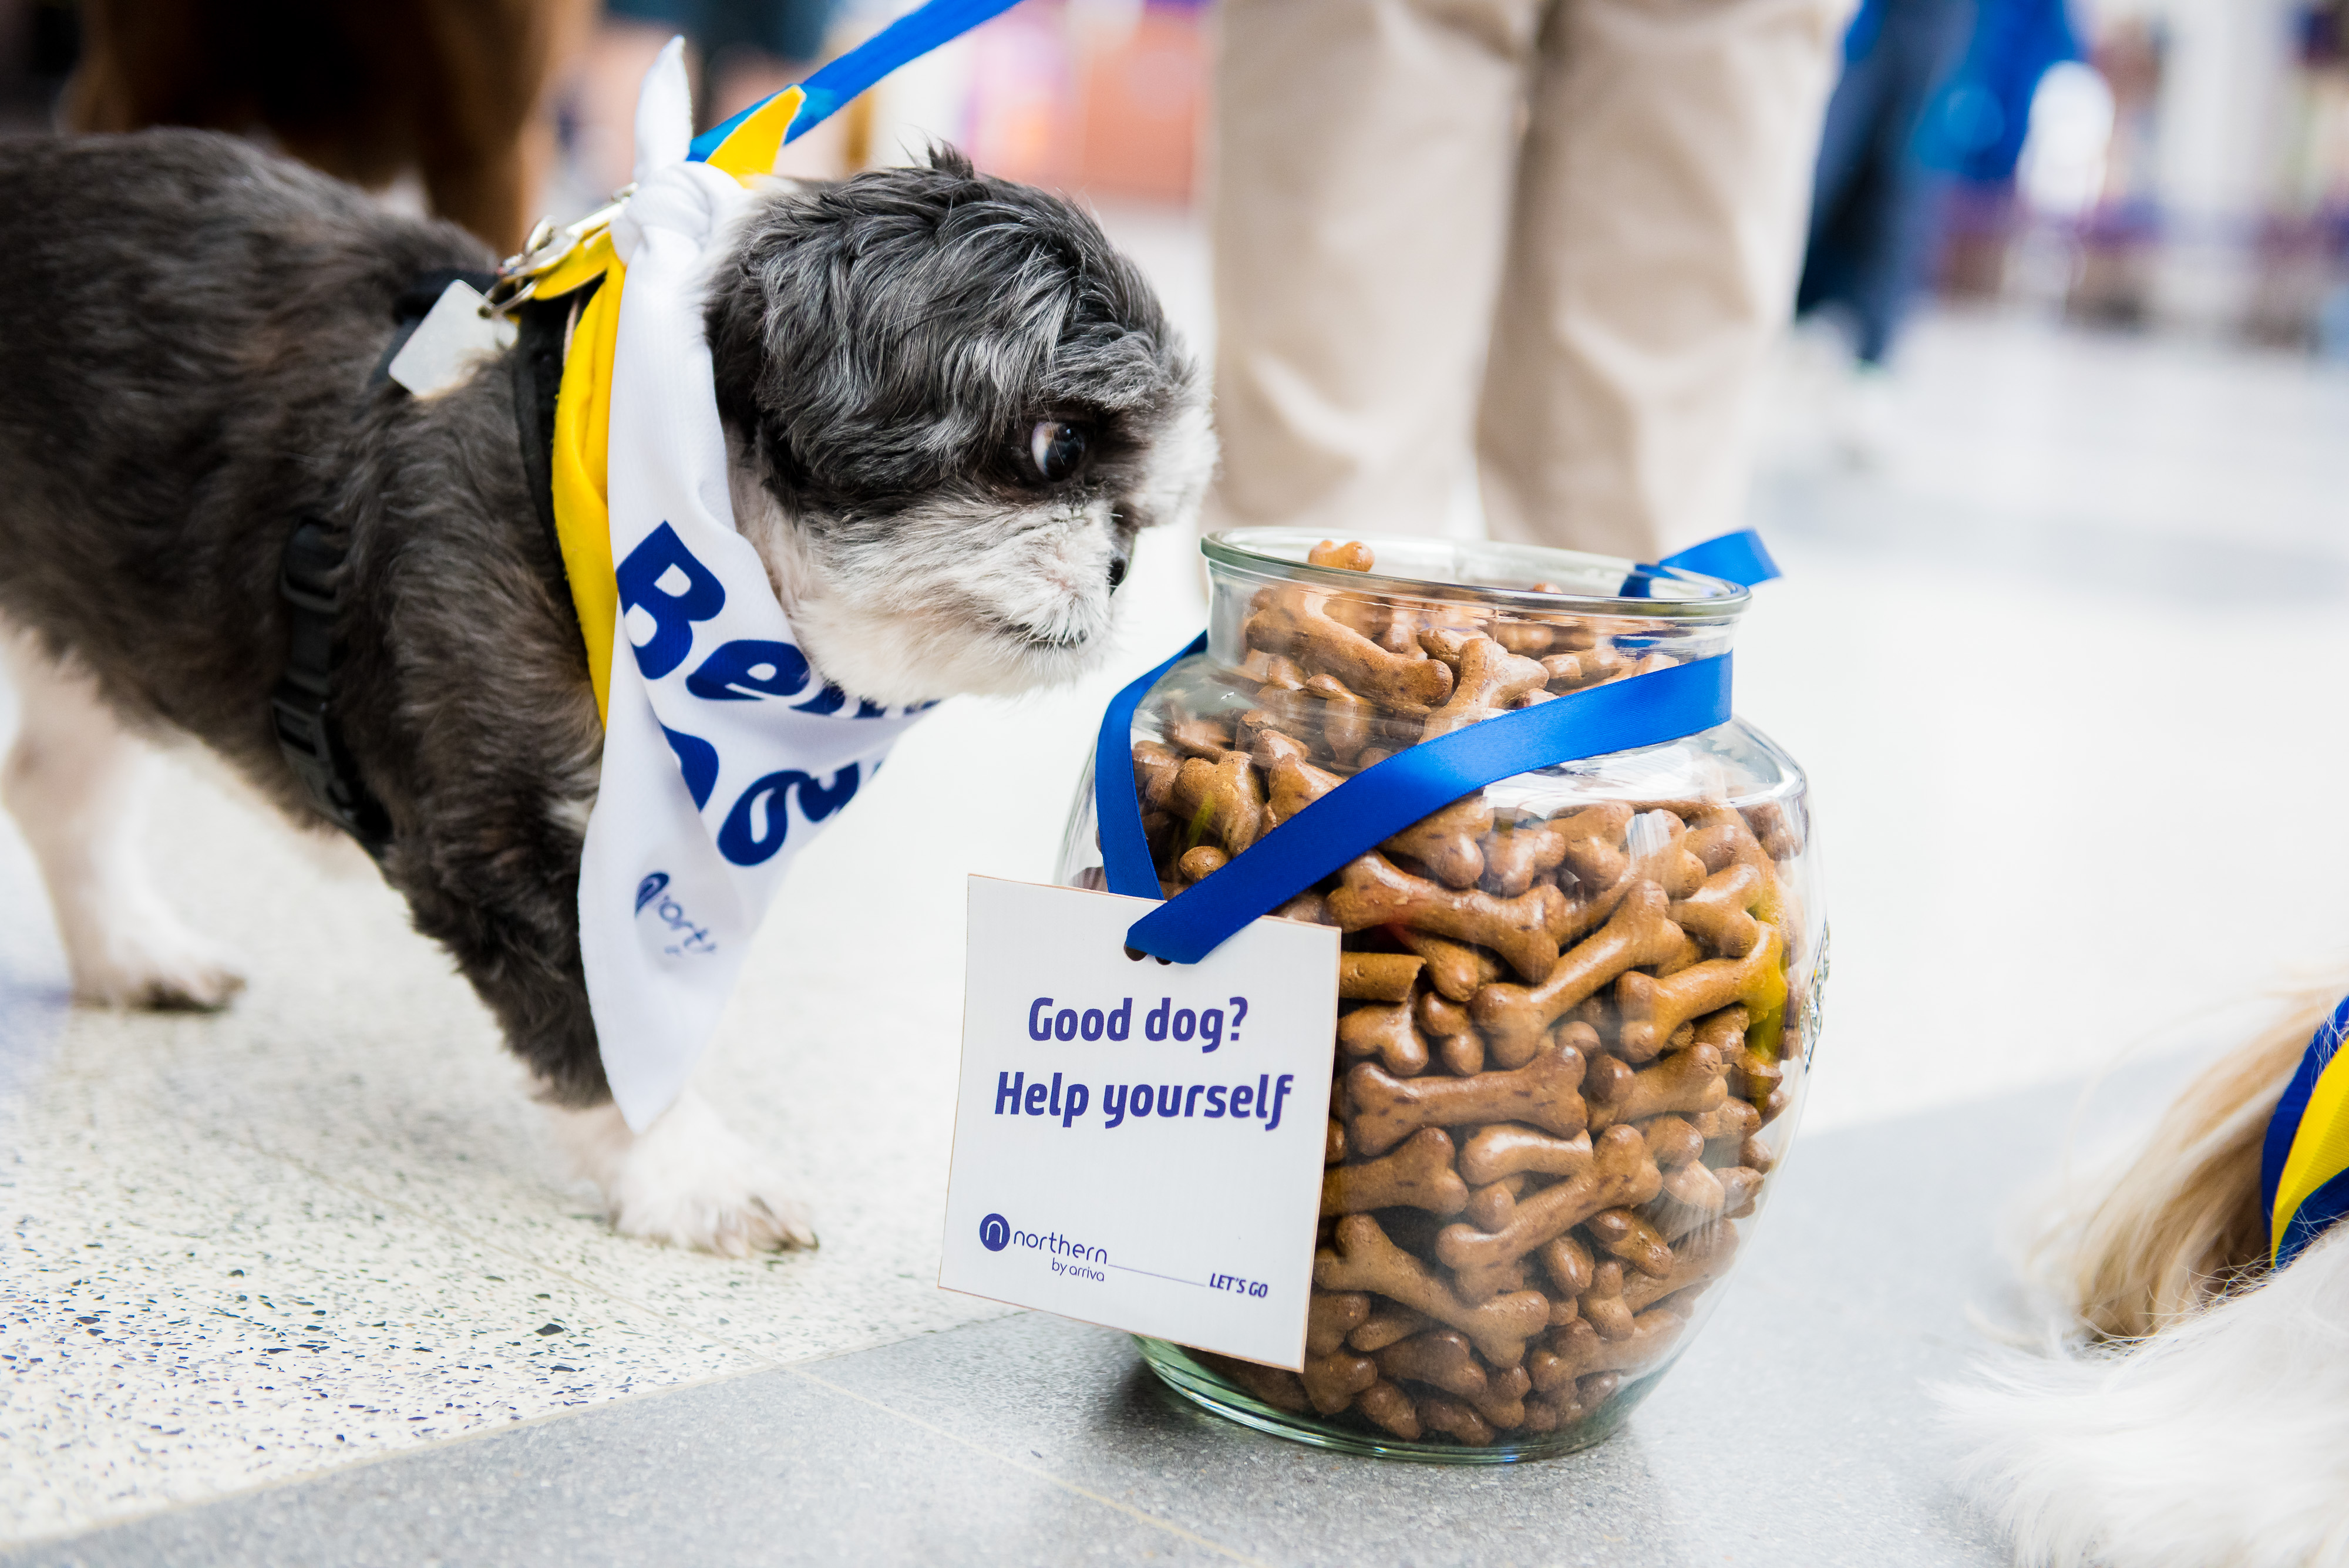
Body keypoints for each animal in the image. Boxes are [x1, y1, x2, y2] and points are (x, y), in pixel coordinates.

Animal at [0, 128, 1212, 1258]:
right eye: (1059, 447)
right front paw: (686, 1170)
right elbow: (603, 1028)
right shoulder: (500, 857)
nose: (1118, 565)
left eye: (1146, 517)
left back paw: (129, 951)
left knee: (60, 795)